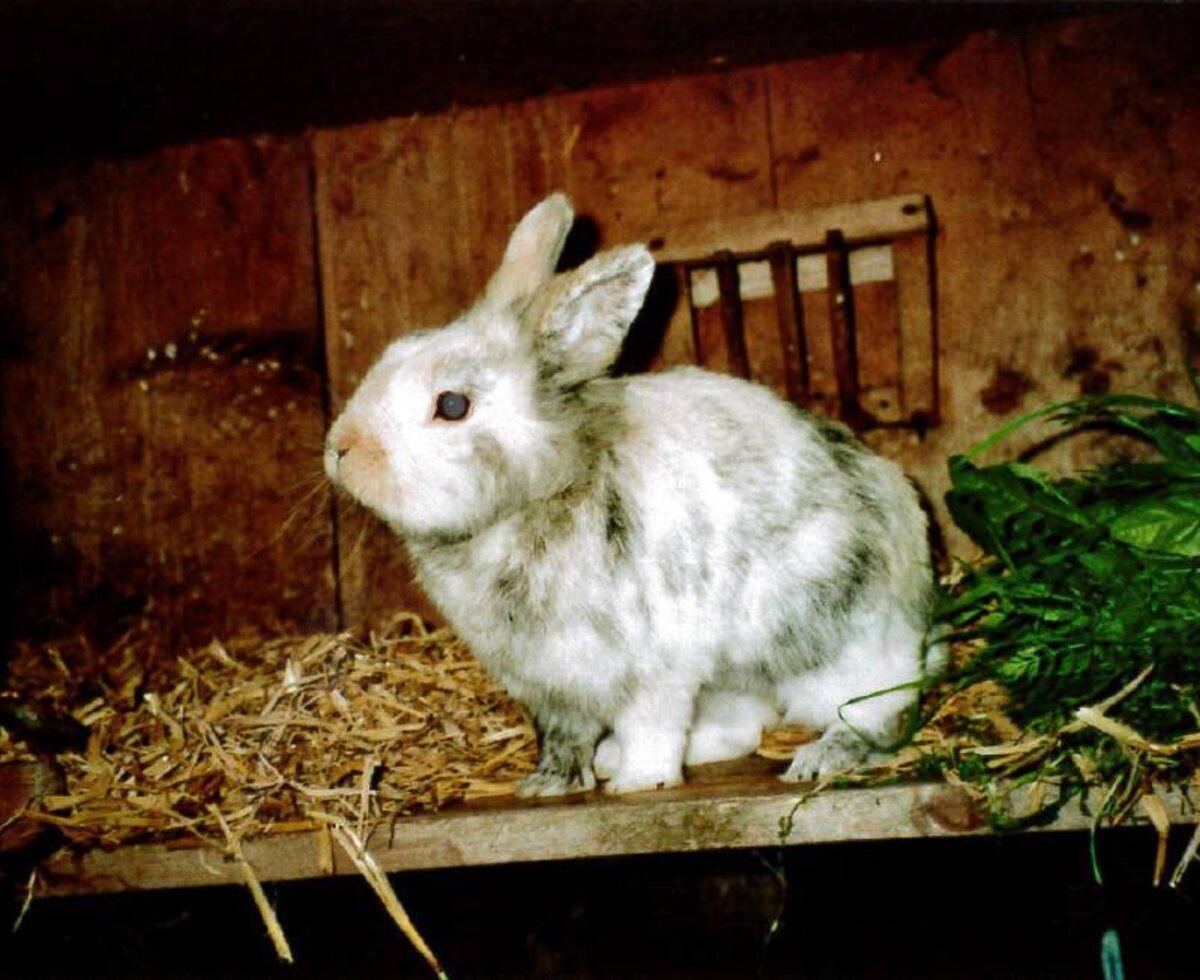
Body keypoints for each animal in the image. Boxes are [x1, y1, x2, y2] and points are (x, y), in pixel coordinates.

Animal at [325, 193, 940, 797]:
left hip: (842, 654)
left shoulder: (655, 667)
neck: (540, 493)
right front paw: (547, 786)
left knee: (877, 711)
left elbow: (652, 724)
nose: (341, 448)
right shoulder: (549, 685)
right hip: (734, 681)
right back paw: (613, 758)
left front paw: (640, 783)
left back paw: (816, 758)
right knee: (742, 727)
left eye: (452, 405)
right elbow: (561, 737)